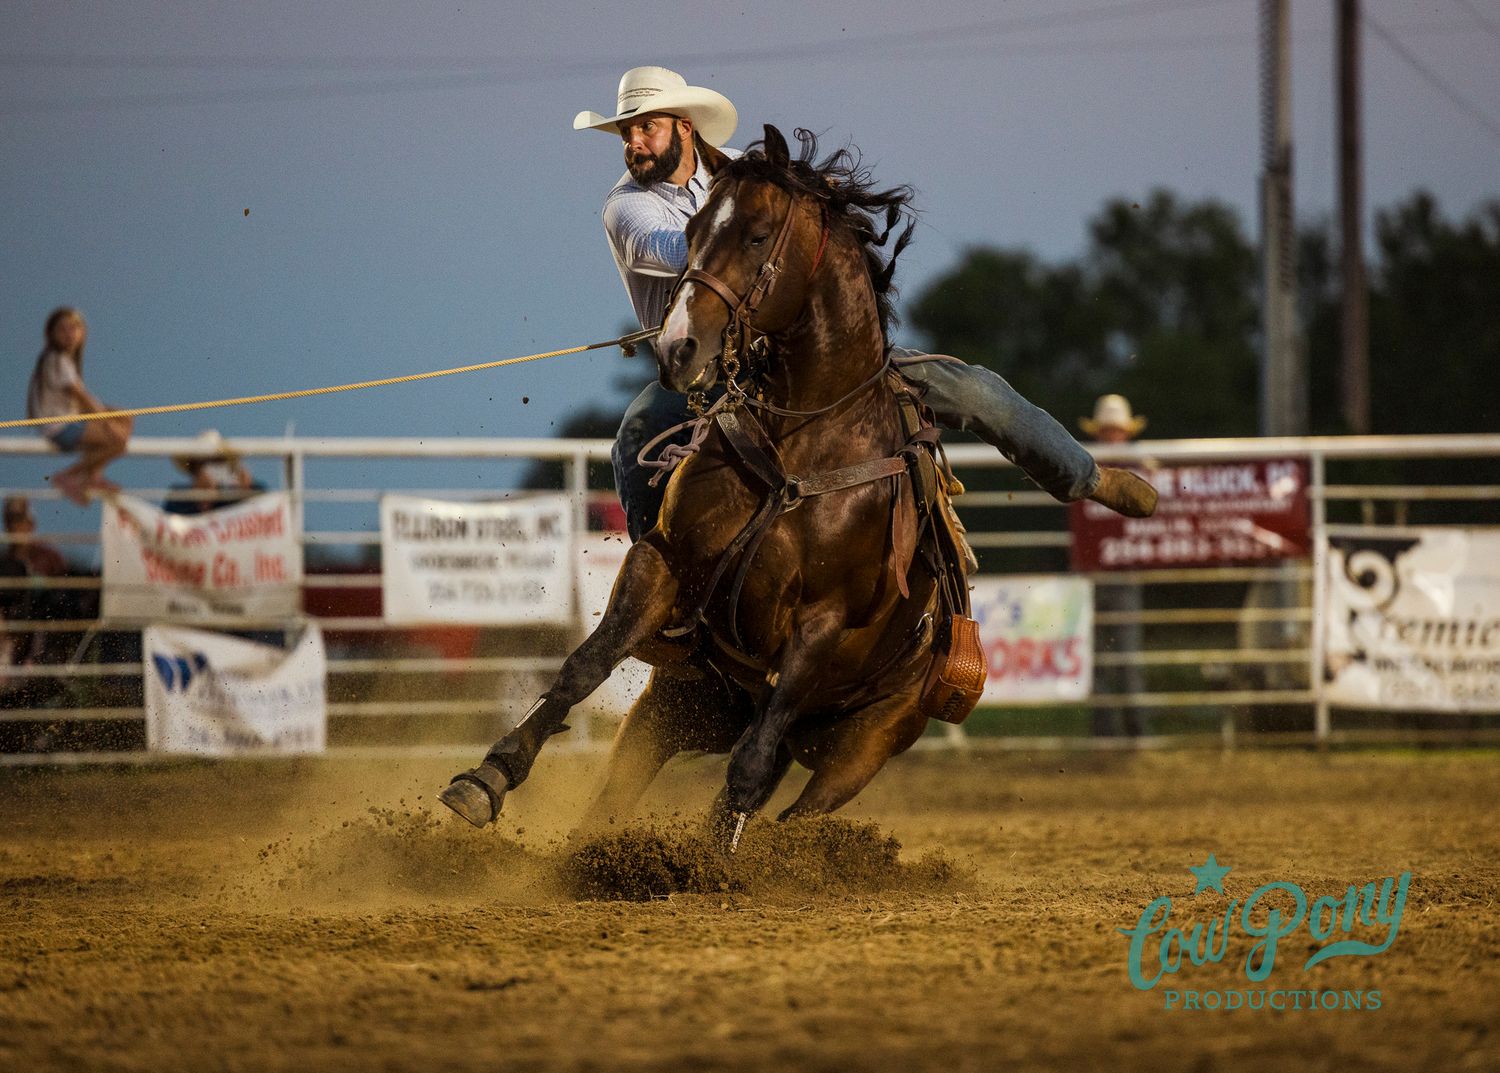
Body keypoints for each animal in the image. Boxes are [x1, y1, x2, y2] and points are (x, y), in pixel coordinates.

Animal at [441, 125, 978, 849]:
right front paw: (487, 777)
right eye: (691, 231)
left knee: (783, 797)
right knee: (625, 786)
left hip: (864, 745)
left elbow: (746, 771)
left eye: (756, 235)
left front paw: (722, 858)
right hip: (678, 705)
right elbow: (584, 664)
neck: (799, 447)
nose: (679, 348)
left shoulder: (824, 625)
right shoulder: (666, 559)